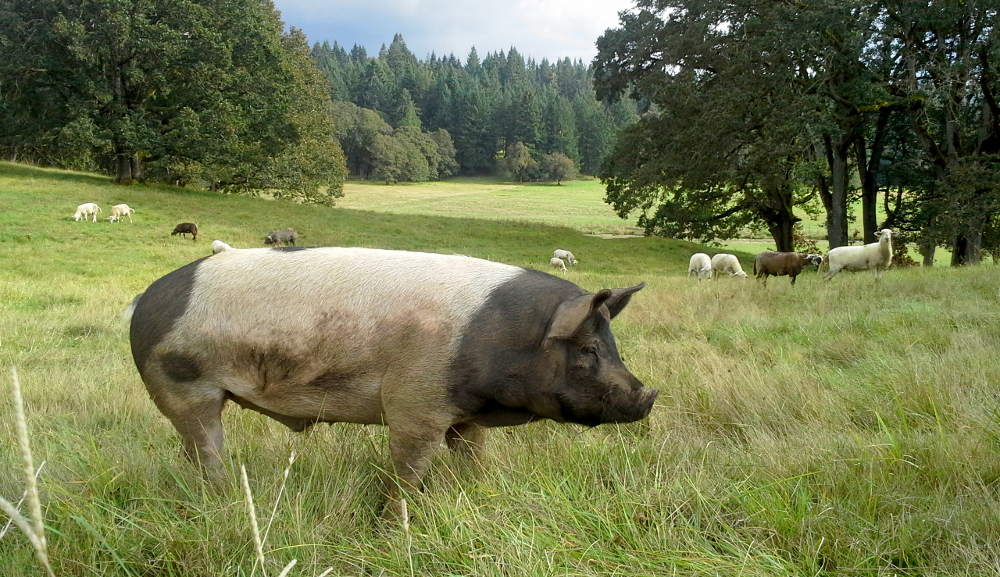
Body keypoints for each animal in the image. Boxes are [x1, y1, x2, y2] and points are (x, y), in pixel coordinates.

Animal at [128, 248, 656, 521]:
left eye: (609, 344)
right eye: (588, 349)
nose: (646, 395)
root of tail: (143, 298)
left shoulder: (463, 415)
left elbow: (474, 455)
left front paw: (481, 493)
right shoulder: (415, 403)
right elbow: (408, 470)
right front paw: (395, 527)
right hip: (182, 384)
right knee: (207, 448)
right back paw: (227, 500)